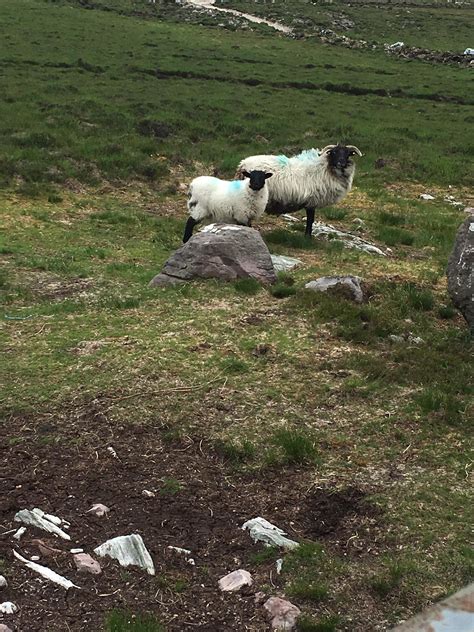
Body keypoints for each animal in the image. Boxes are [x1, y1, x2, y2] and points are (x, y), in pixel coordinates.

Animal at [234, 143, 362, 237]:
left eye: (348, 154)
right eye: (334, 152)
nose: (341, 163)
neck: (325, 168)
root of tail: (242, 165)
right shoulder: (312, 201)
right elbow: (310, 220)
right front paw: (308, 237)